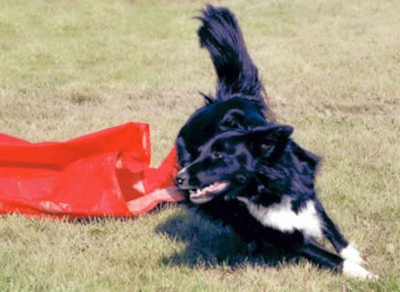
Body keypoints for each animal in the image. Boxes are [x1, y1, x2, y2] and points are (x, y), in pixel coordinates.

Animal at [175, 4, 376, 280]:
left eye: (218, 155)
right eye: (199, 153)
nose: (179, 178)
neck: (267, 184)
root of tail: (224, 98)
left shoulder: (305, 189)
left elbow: (329, 225)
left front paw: (354, 255)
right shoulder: (282, 233)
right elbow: (324, 255)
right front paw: (363, 274)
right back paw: (251, 245)